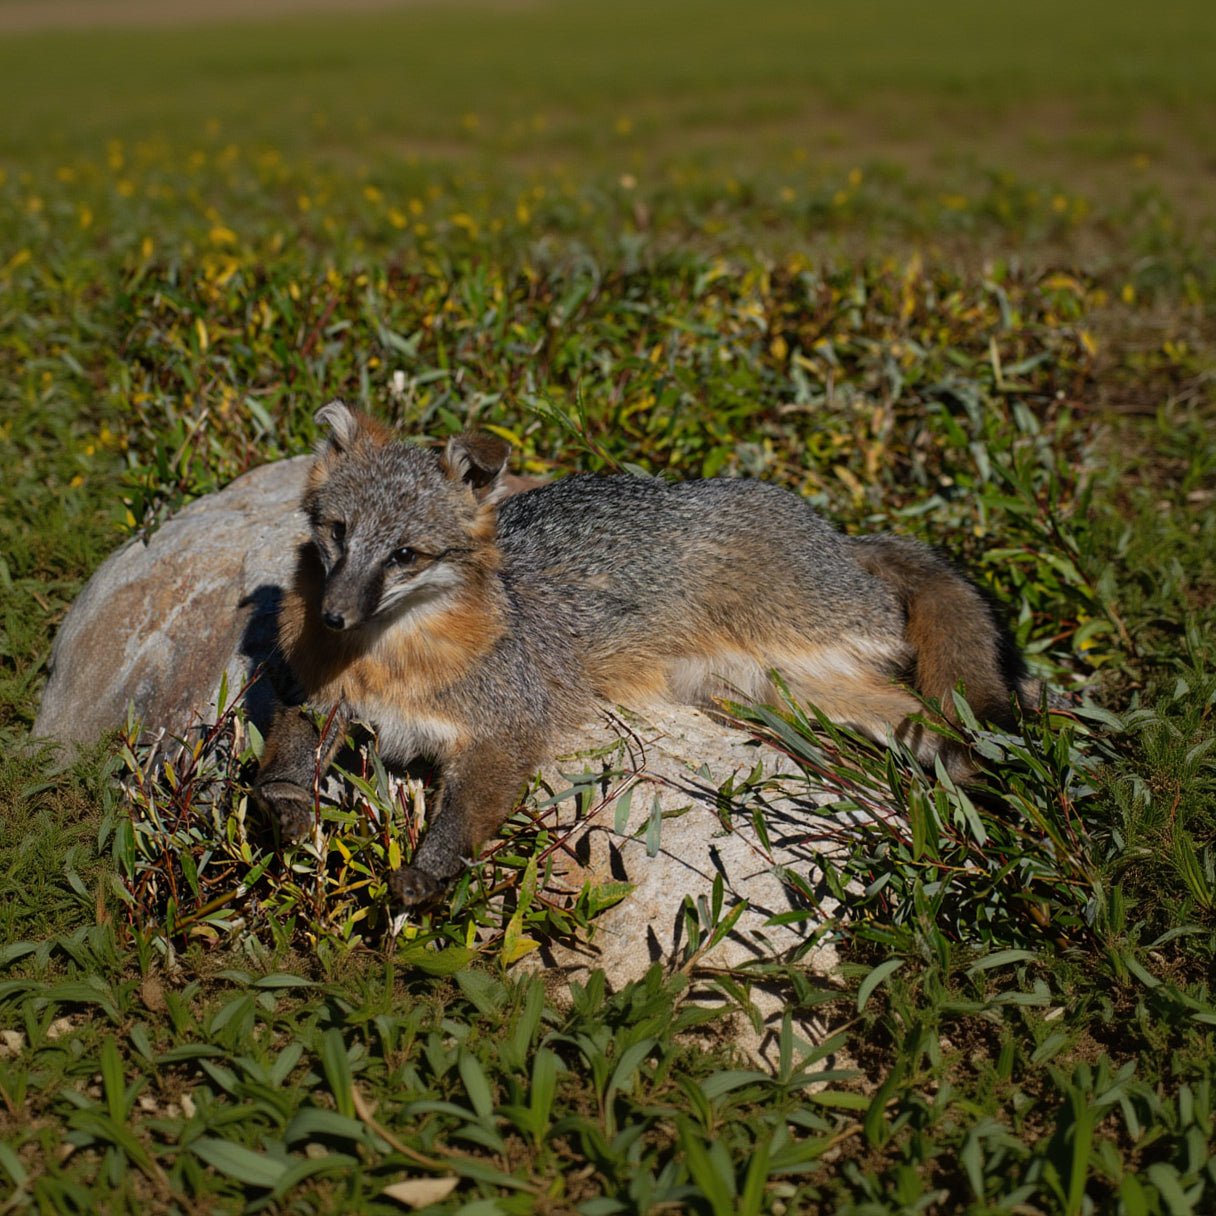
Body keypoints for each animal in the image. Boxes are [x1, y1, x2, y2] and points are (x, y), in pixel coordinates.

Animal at [254, 400, 1030, 906]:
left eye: (405, 556)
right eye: (338, 532)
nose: (334, 614)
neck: (386, 664)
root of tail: (838, 534)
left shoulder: (506, 732)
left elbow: (465, 814)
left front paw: (430, 870)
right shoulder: (316, 695)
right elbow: (284, 759)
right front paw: (287, 808)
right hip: (780, 694)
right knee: (912, 711)